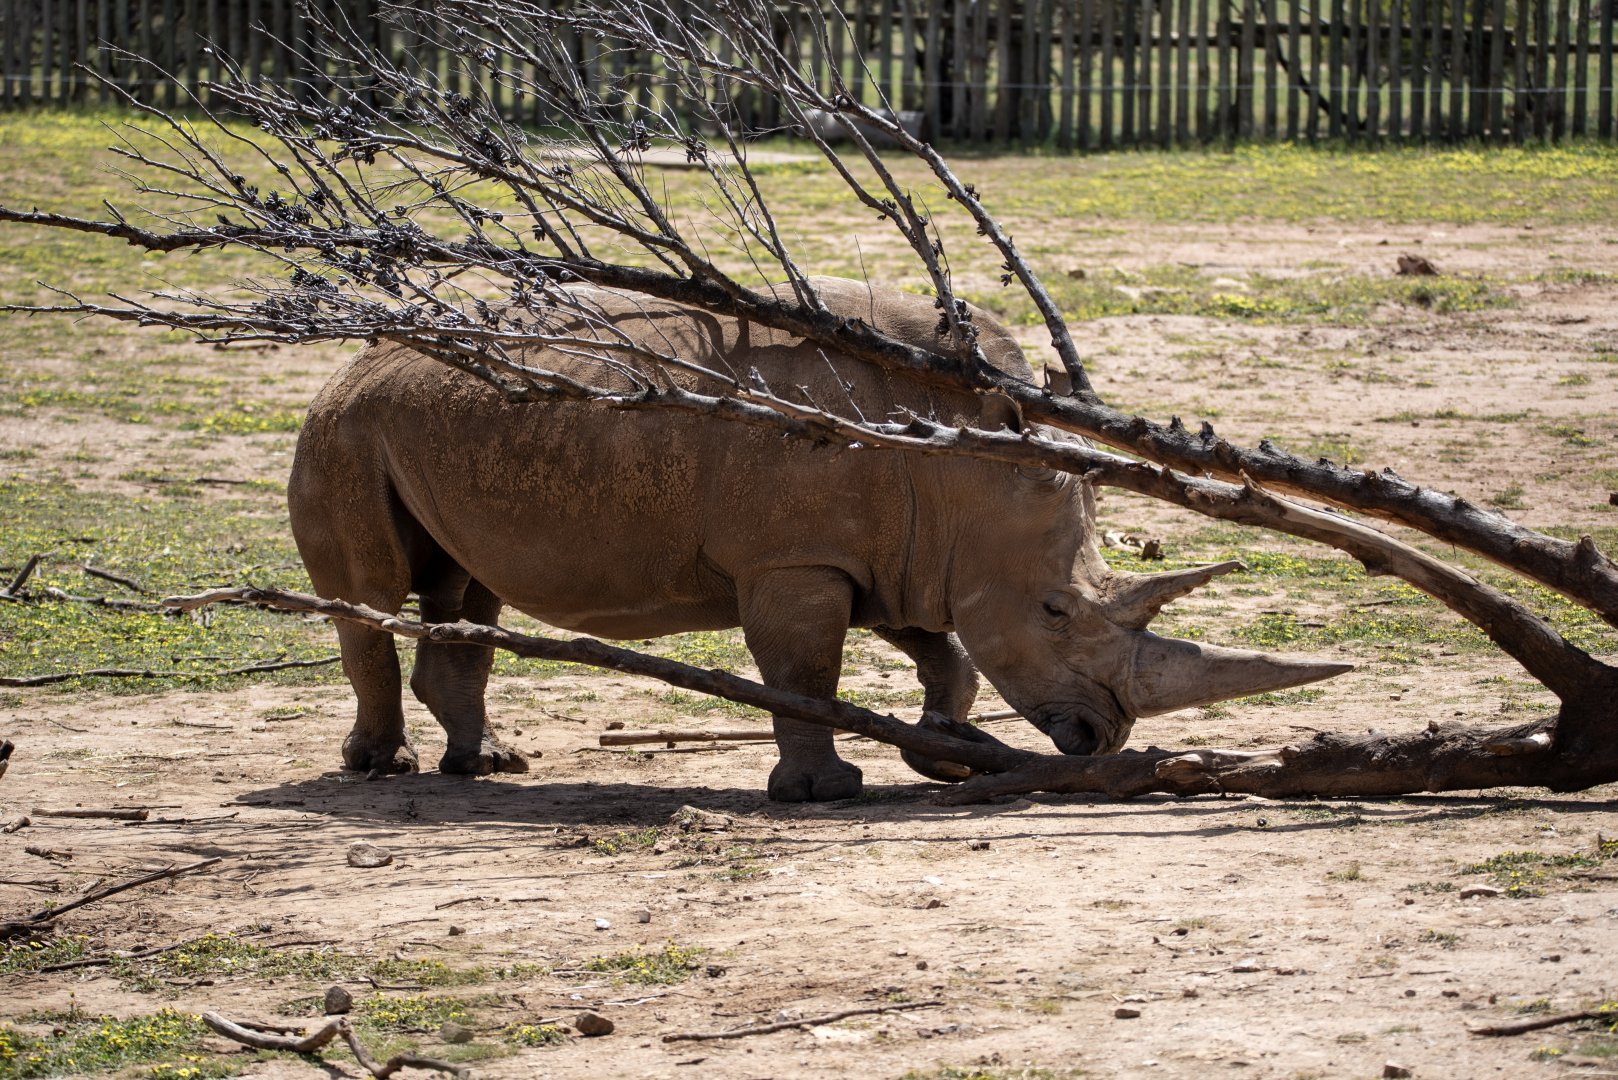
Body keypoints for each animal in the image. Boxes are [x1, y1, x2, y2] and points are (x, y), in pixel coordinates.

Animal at [288, 277, 1348, 801]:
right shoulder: (797, 559)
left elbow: (947, 653)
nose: (1103, 737)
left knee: (468, 589)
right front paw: (823, 792)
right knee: (372, 597)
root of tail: (349, 364)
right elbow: (805, 670)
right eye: (1056, 610)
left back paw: (490, 767)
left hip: (429, 424)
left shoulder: (903, 552)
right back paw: (380, 770)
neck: (967, 465)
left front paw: (947, 748)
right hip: (345, 431)